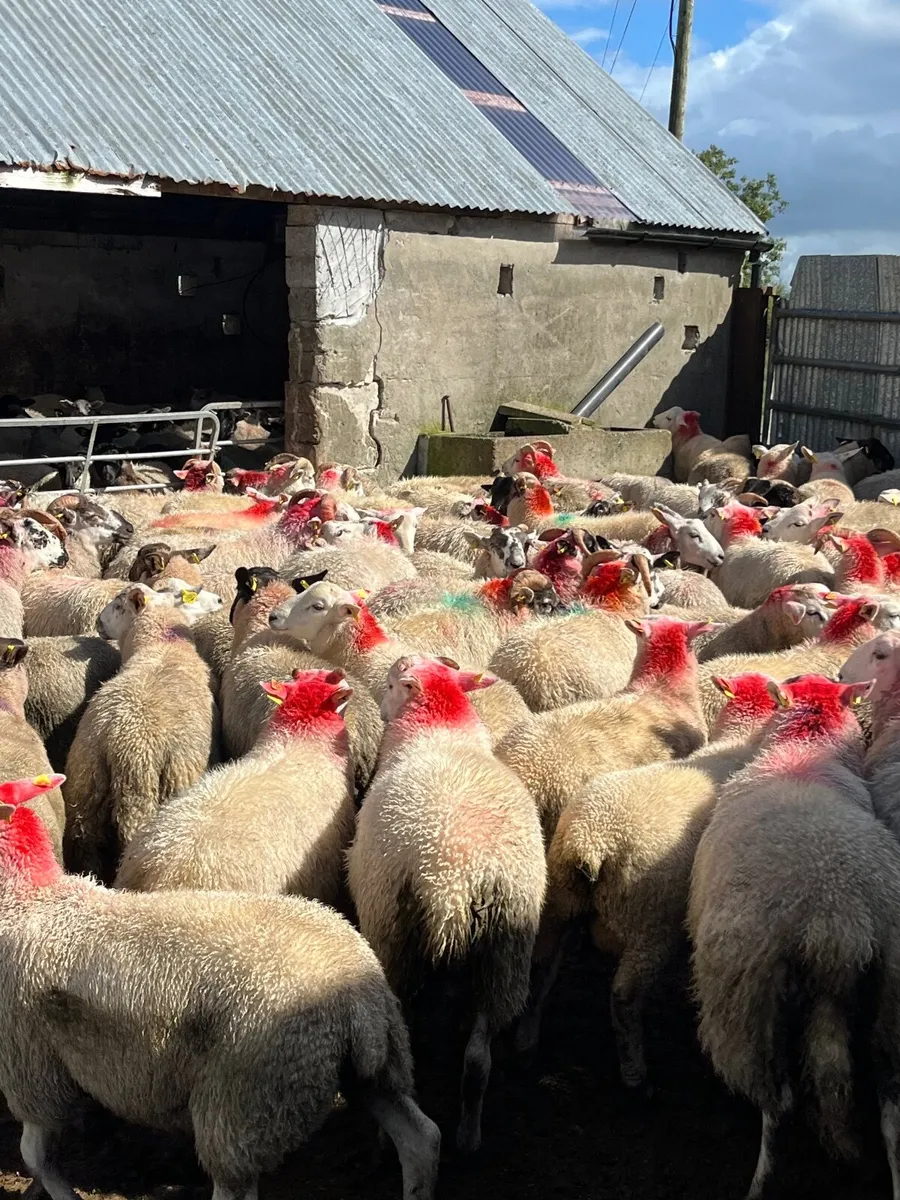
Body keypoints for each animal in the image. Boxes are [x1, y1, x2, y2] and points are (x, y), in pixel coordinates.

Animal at [0, 785, 440, 1200]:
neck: (30, 900)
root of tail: (360, 1002)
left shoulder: (30, 1066)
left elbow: (34, 1156)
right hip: (373, 1065)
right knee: (421, 1138)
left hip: (243, 1095)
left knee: (234, 1183)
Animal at [63, 585, 217, 881]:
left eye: (118, 605)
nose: (97, 622)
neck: (162, 646)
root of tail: (122, 742)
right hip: (146, 796)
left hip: (85, 786)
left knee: (85, 844)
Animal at [348, 655, 546, 1153]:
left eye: (392, 686)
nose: (382, 707)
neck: (441, 729)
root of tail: (453, 882)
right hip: (505, 949)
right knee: (477, 1059)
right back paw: (469, 1135)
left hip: (393, 935)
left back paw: (384, 1138)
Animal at [520, 673, 779, 1083]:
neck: (739, 741)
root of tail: (588, 841)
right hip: (649, 921)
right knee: (624, 996)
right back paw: (634, 1069)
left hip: (560, 903)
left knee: (540, 968)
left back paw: (526, 1042)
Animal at [687, 674, 900, 1198]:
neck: (805, 749)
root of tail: (836, 919)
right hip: (890, 996)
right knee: (890, 1110)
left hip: (751, 1003)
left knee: (777, 1102)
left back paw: (761, 1181)